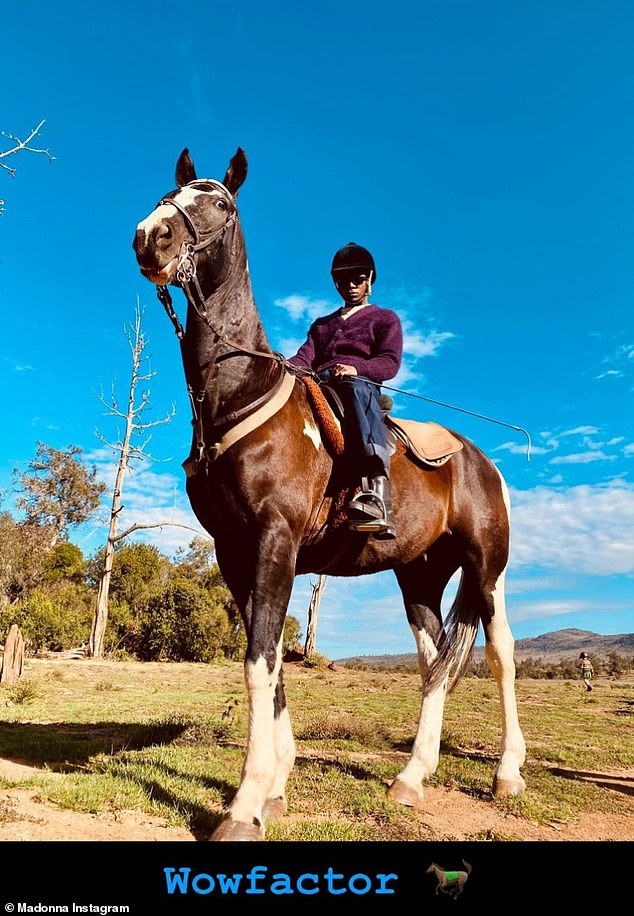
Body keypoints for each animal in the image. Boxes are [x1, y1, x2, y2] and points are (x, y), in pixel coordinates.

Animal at [131, 147, 524, 840]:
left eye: (220, 202)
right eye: (166, 195)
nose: (151, 236)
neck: (241, 395)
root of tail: (484, 463)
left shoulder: (275, 541)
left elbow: (259, 662)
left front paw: (244, 803)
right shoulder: (235, 552)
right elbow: (270, 660)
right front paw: (274, 790)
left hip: (486, 569)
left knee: (500, 654)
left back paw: (507, 774)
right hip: (420, 575)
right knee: (433, 663)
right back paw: (412, 777)